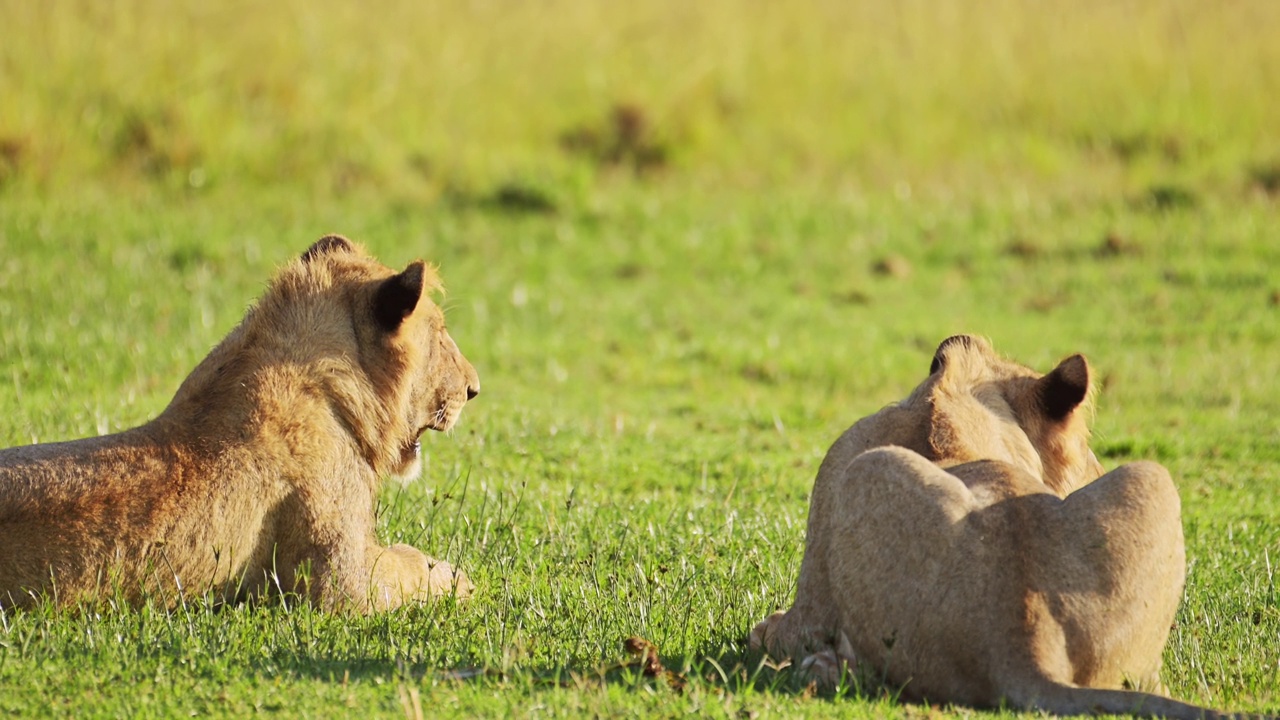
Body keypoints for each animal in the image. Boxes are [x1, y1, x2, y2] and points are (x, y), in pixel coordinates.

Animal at [747, 335, 1249, 717]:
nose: (1095, 467)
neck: (958, 403)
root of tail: (1025, 648)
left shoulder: (810, 602)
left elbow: (775, 630)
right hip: (1152, 477)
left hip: (866, 470)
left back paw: (820, 668)